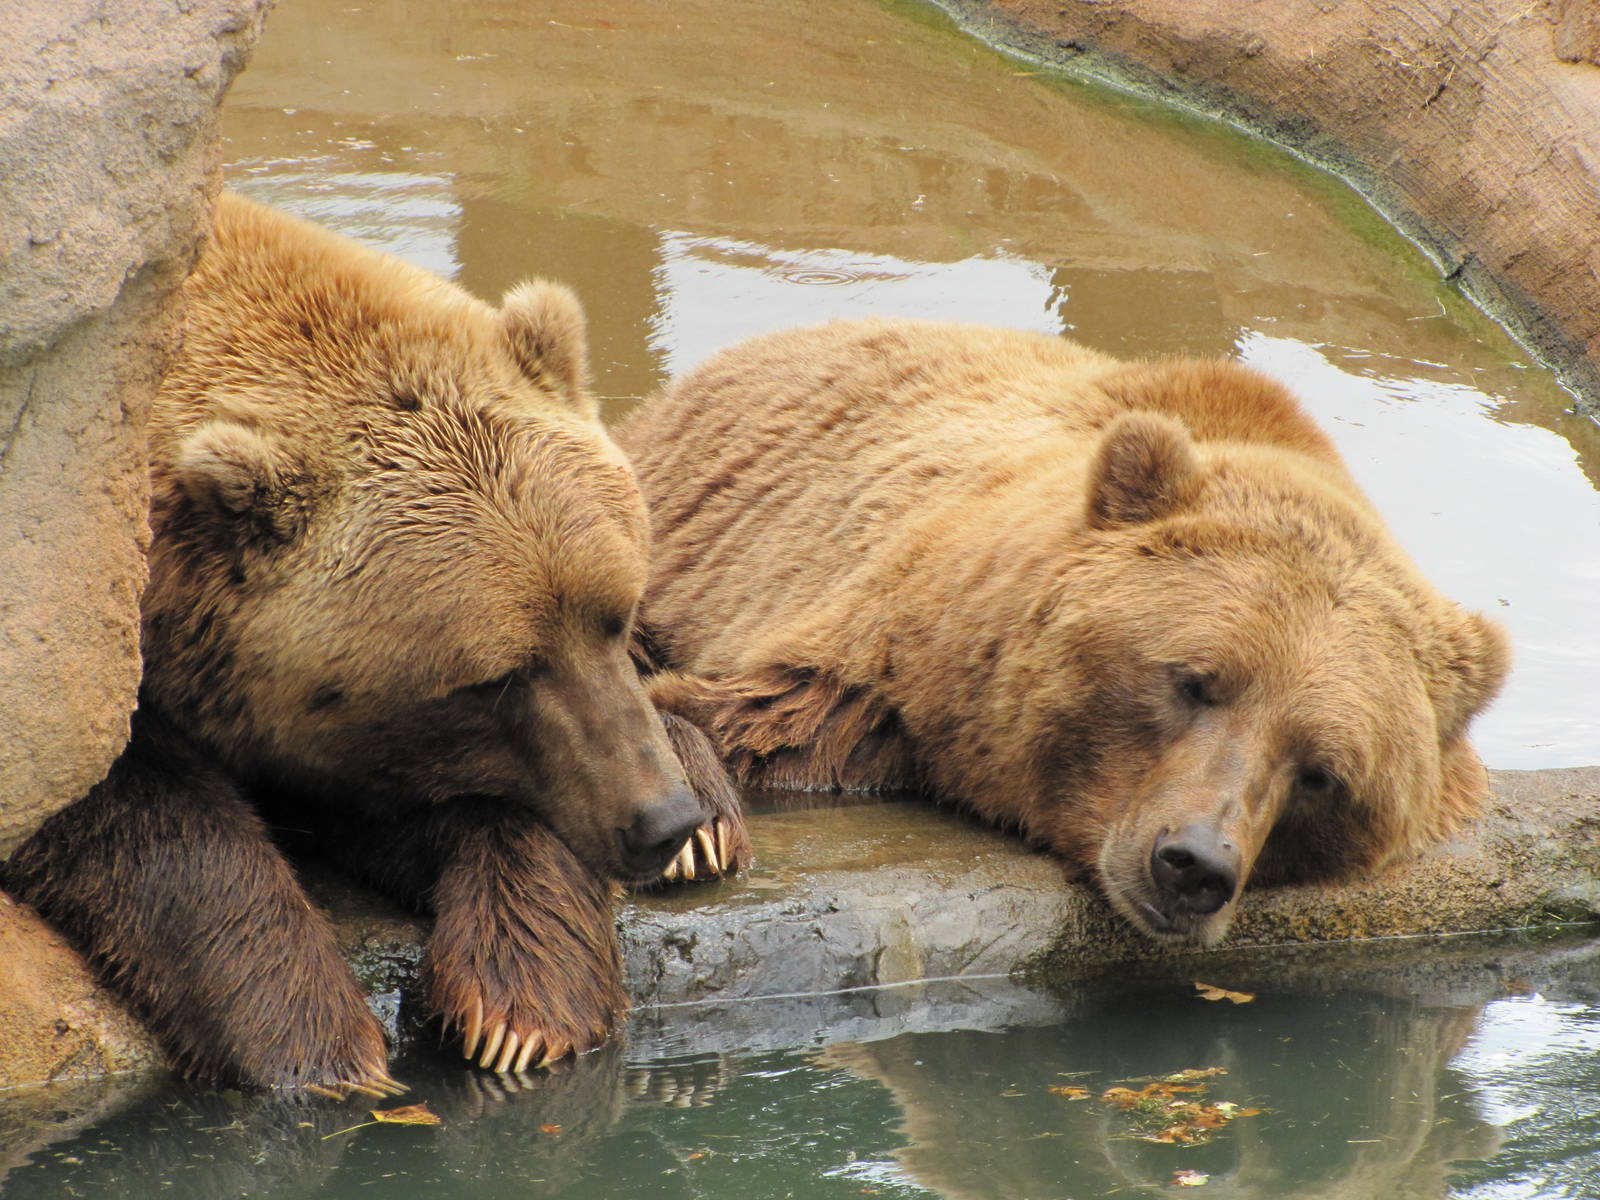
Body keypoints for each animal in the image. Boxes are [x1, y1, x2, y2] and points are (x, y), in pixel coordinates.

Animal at [2, 193, 741, 1094]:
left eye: (617, 612)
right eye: (497, 677)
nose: (660, 818)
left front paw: (523, 1003)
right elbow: (137, 807)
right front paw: (314, 1038)